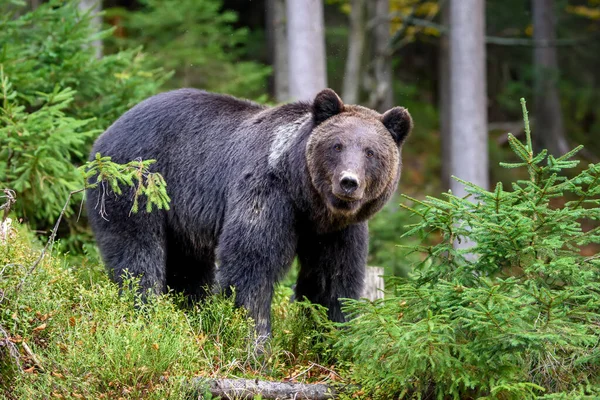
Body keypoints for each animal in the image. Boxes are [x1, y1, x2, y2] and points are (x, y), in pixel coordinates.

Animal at [85, 88, 412, 338]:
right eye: (337, 145)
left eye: (370, 152)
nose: (348, 182)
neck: (307, 200)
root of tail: (107, 132)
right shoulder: (266, 194)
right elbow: (251, 265)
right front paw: (253, 343)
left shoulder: (337, 231)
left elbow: (333, 280)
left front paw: (331, 337)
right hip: (137, 184)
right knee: (138, 255)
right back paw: (145, 312)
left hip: (182, 218)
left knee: (188, 267)